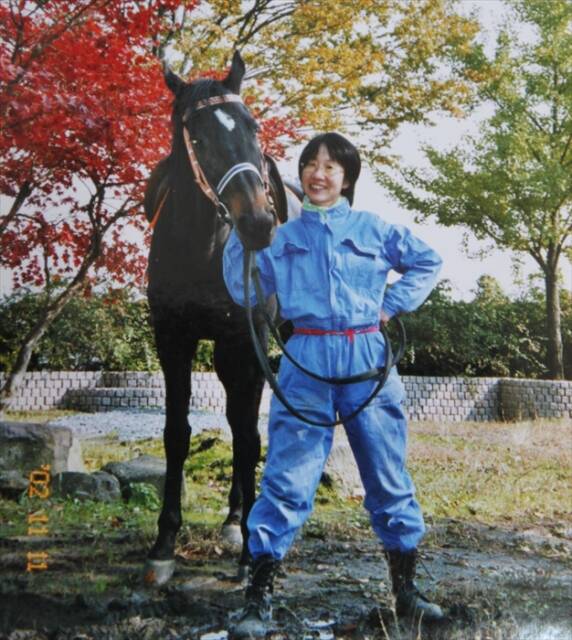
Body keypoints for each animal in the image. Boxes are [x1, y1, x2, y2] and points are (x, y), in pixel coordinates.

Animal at [142, 51, 297, 585]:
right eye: (200, 136)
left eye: (253, 127)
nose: (258, 223)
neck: (203, 246)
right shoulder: (172, 339)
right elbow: (177, 434)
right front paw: (165, 544)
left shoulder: (244, 342)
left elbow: (249, 439)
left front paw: (254, 548)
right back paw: (233, 518)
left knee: (249, 427)